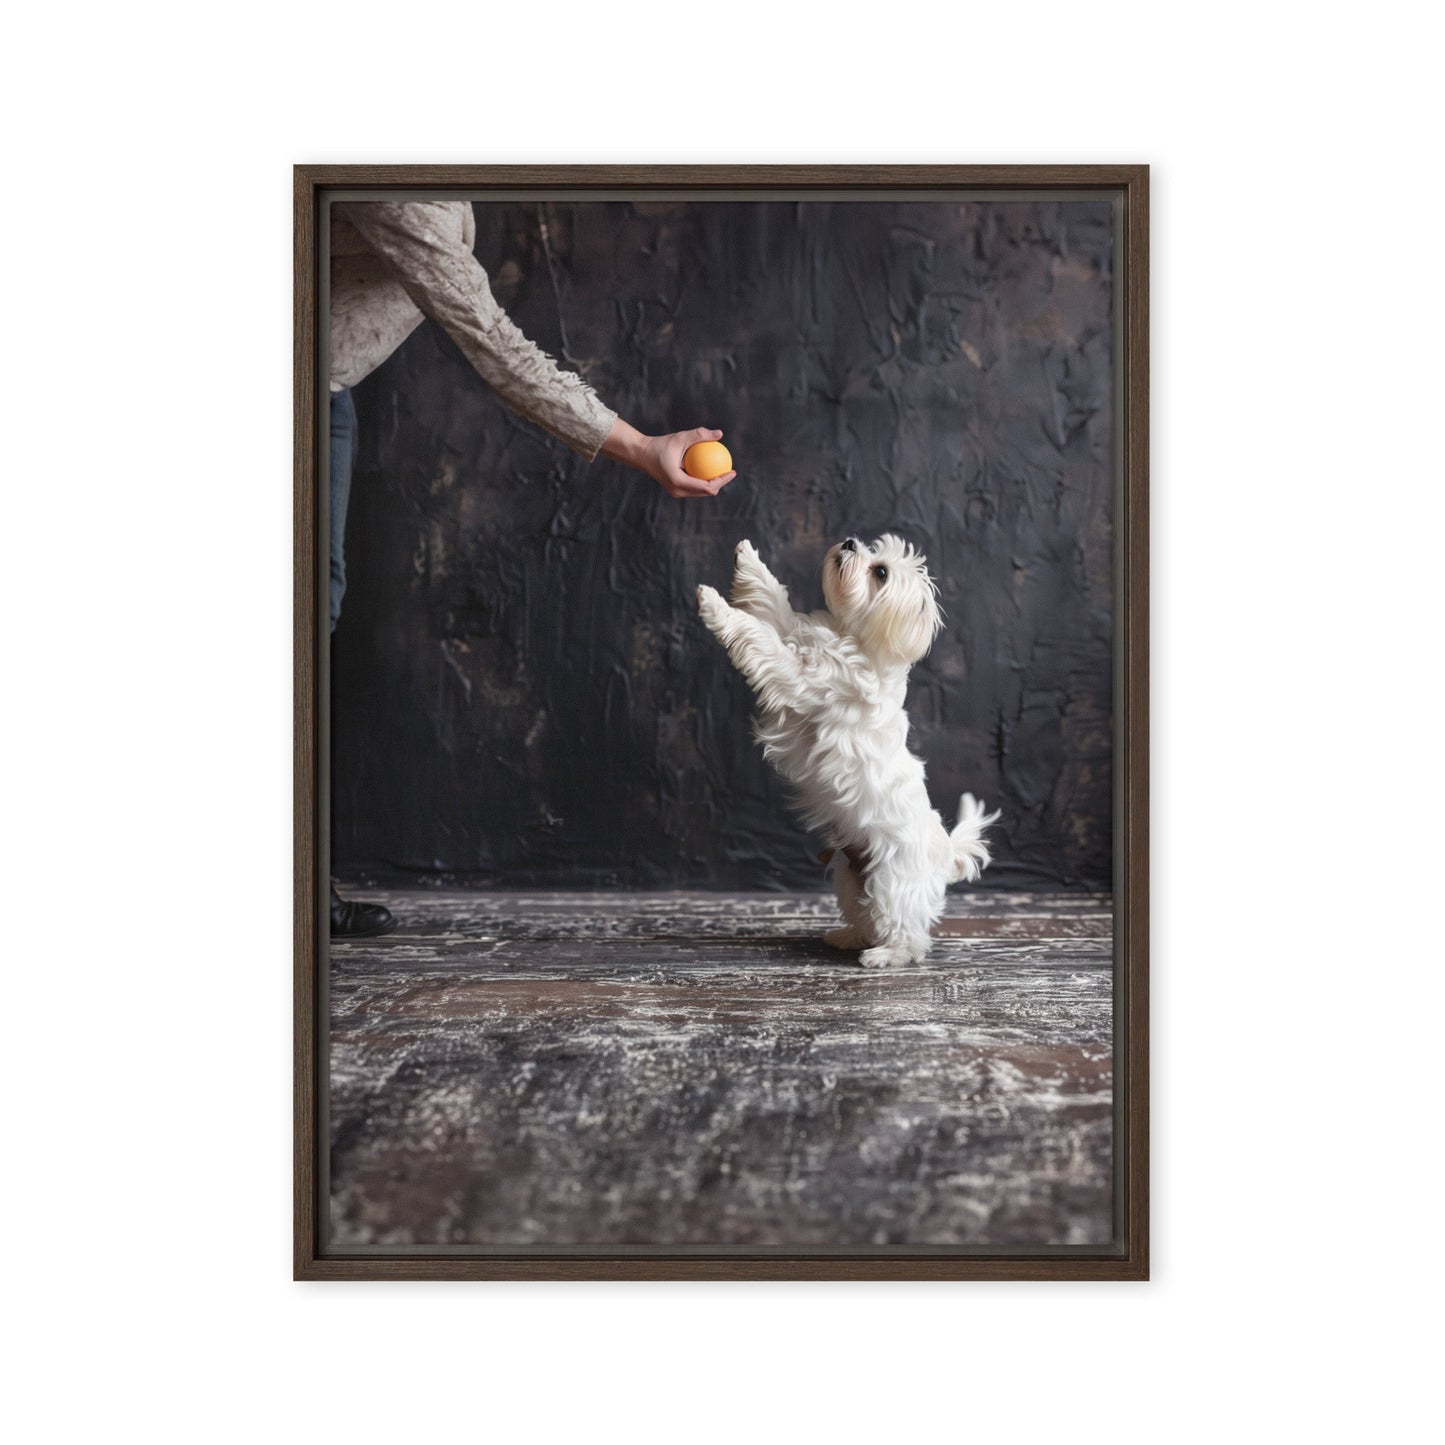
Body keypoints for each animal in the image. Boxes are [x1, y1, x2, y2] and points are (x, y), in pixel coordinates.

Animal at [696, 537, 994, 965]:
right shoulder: (796, 637)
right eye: (871, 548)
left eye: (880, 572)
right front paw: (749, 560)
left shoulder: (795, 674)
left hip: (893, 883)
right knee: (866, 916)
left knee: (909, 935)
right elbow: (772, 602)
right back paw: (848, 938)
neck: (853, 640)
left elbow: (760, 635)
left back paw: (884, 956)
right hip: (850, 878)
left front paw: (714, 605)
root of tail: (944, 854)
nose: (850, 542)